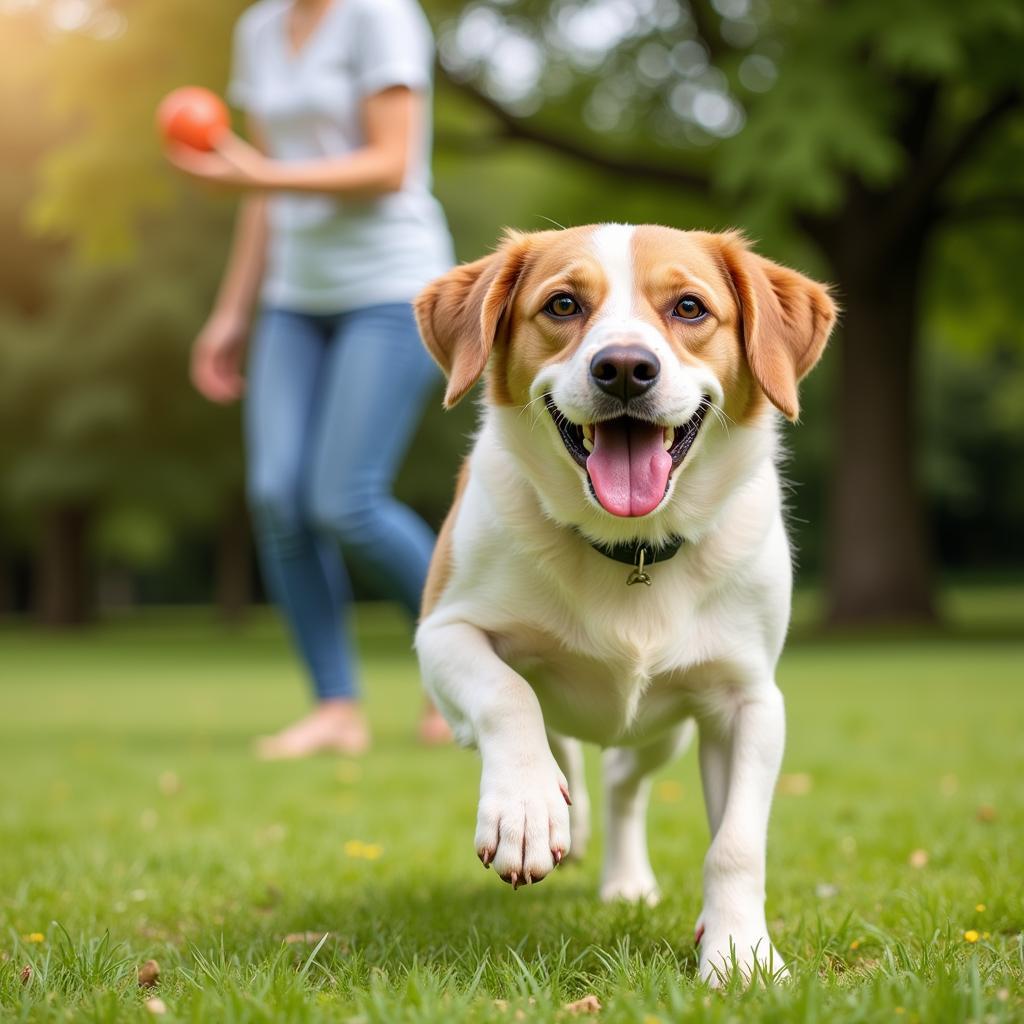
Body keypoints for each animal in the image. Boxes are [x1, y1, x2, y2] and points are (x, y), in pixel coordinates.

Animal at [411, 226, 835, 983]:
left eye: (690, 307)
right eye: (564, 304)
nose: (626, 368)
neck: (629, 548)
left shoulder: (750, 700)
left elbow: (736, 844)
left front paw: (740, 954)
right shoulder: (443, 631)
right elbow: (507, 695)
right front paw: (525, 810)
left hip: (661, 733)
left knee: (620, 779)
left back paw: (625, 878)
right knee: (562, 745)